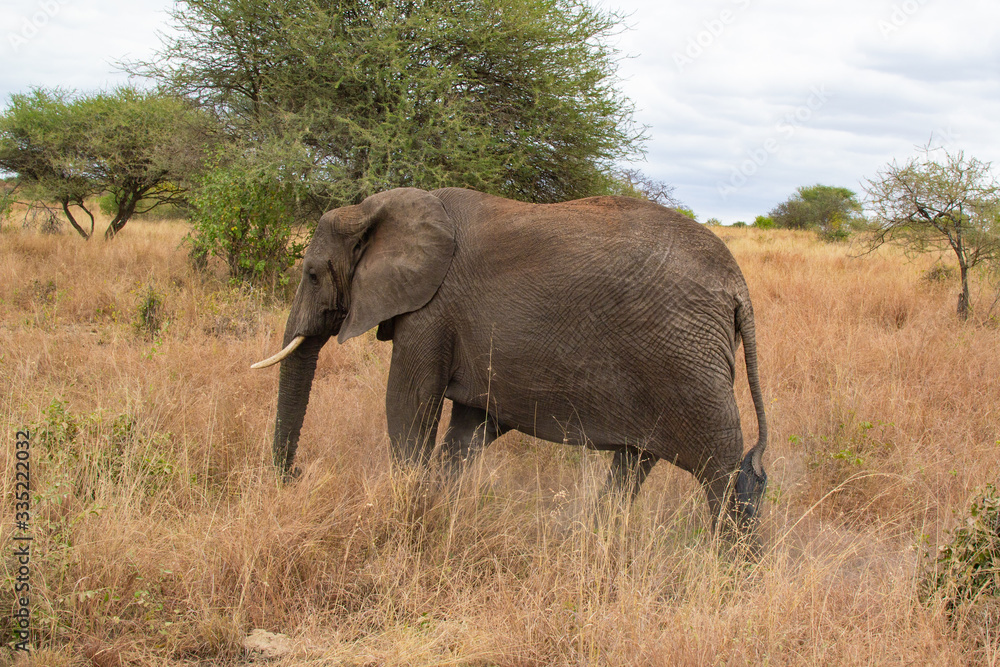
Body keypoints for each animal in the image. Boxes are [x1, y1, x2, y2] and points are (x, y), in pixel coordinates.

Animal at [253, 187, 768, 531]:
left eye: (311, 274)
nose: (296, 475)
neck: (371, 210)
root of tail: (738, 287)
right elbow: (468, 430)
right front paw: (438, 509)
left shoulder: (432, 312)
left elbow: (409, 405)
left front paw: (409, 508)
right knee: (635, 463)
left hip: (688, 362)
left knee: (723, 472)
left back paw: (734, 575)